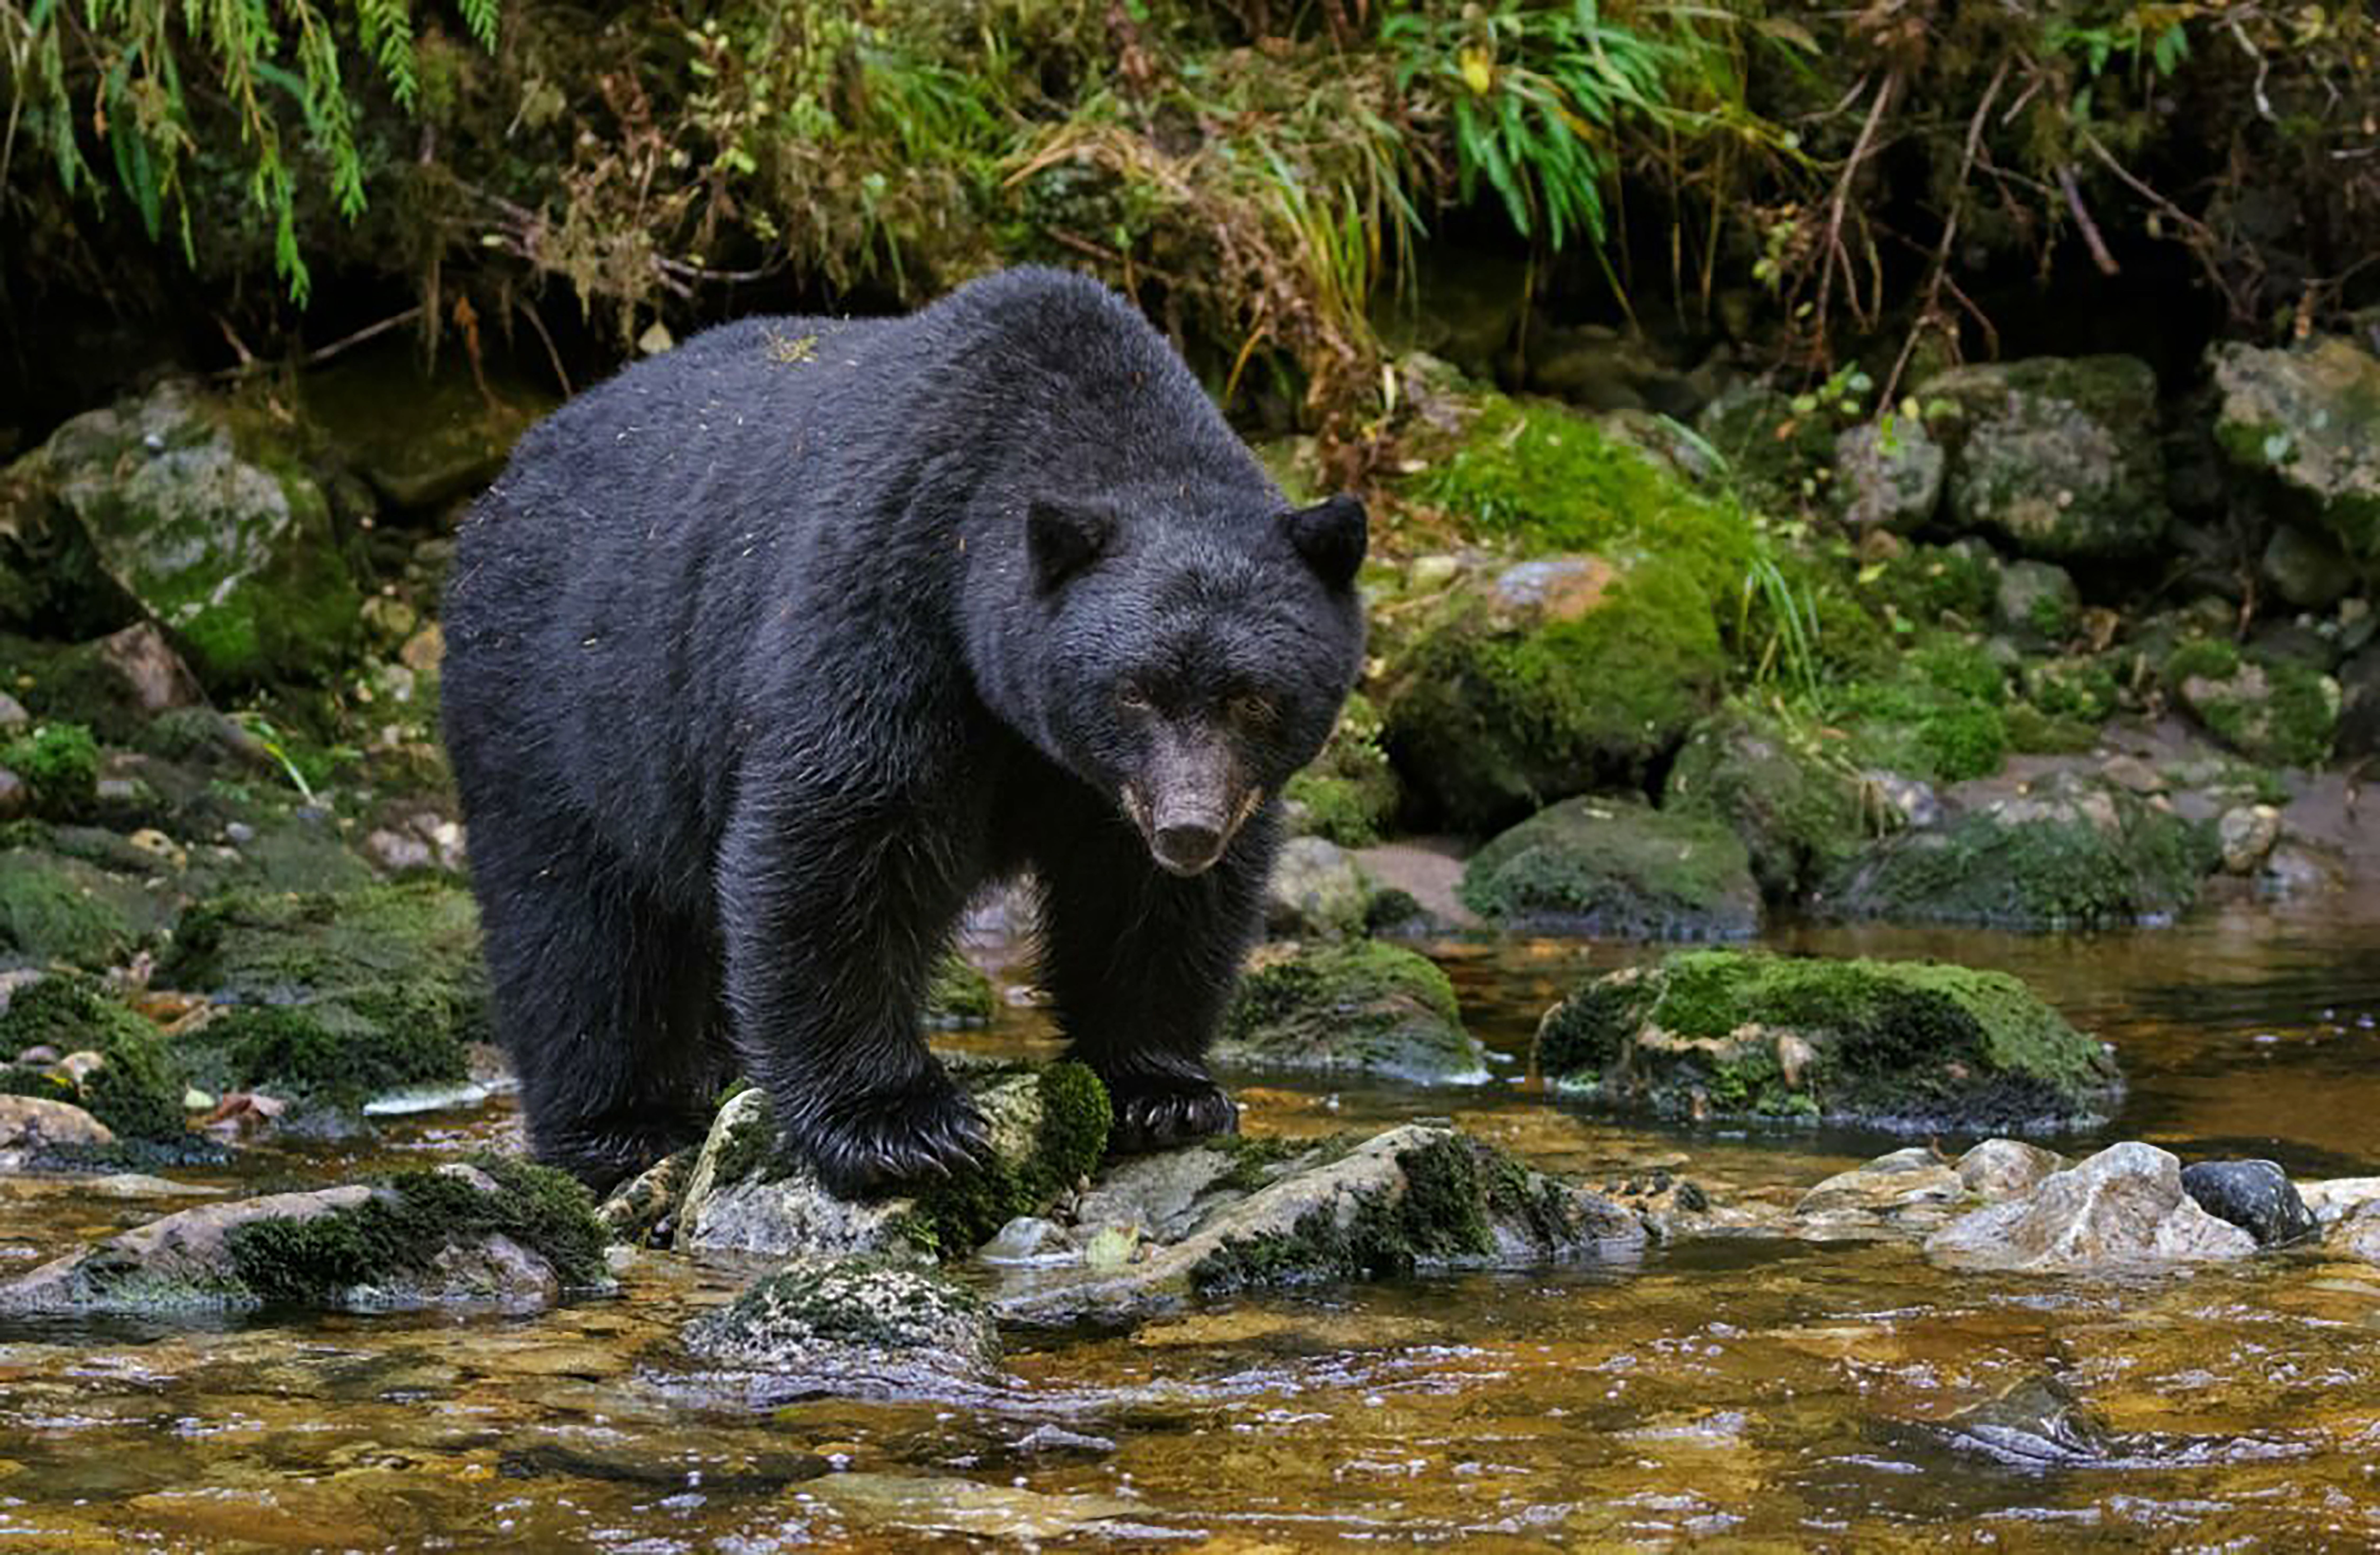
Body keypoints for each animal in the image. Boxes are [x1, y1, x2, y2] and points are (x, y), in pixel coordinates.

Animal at [441, 267, 1368, 1197]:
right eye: (1134, 692)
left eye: (1253, 698)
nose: (1188, 830)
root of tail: (507, 477)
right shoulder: (891, 595)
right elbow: (841, 839)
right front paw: (897, 1123)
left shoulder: (1118, 786)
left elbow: (1143, 899)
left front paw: (1163, 1090)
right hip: (555, 702)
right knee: (579, 927)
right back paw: (622, 1124)